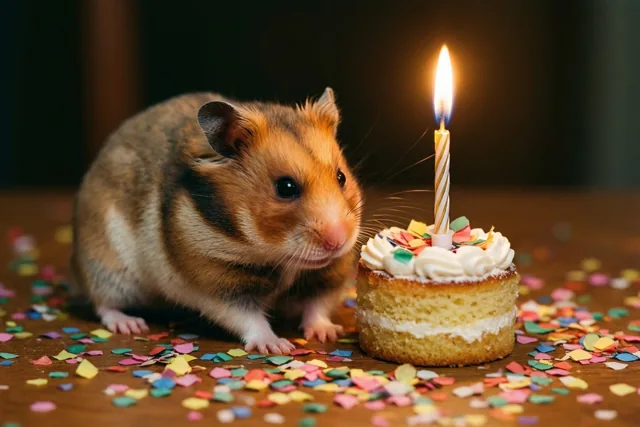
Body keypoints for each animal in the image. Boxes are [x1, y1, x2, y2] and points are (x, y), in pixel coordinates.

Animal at [71, 88, 362, 354]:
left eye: (341, 177)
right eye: (286, 187)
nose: (338, 241)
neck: (279, 255)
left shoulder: (328, 274)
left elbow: (317, 305)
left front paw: (328, 333)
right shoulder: (216, 282)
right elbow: (248, 318)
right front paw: (276, 346)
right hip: (107, 266)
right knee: (104, 304)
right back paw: (131, 324)